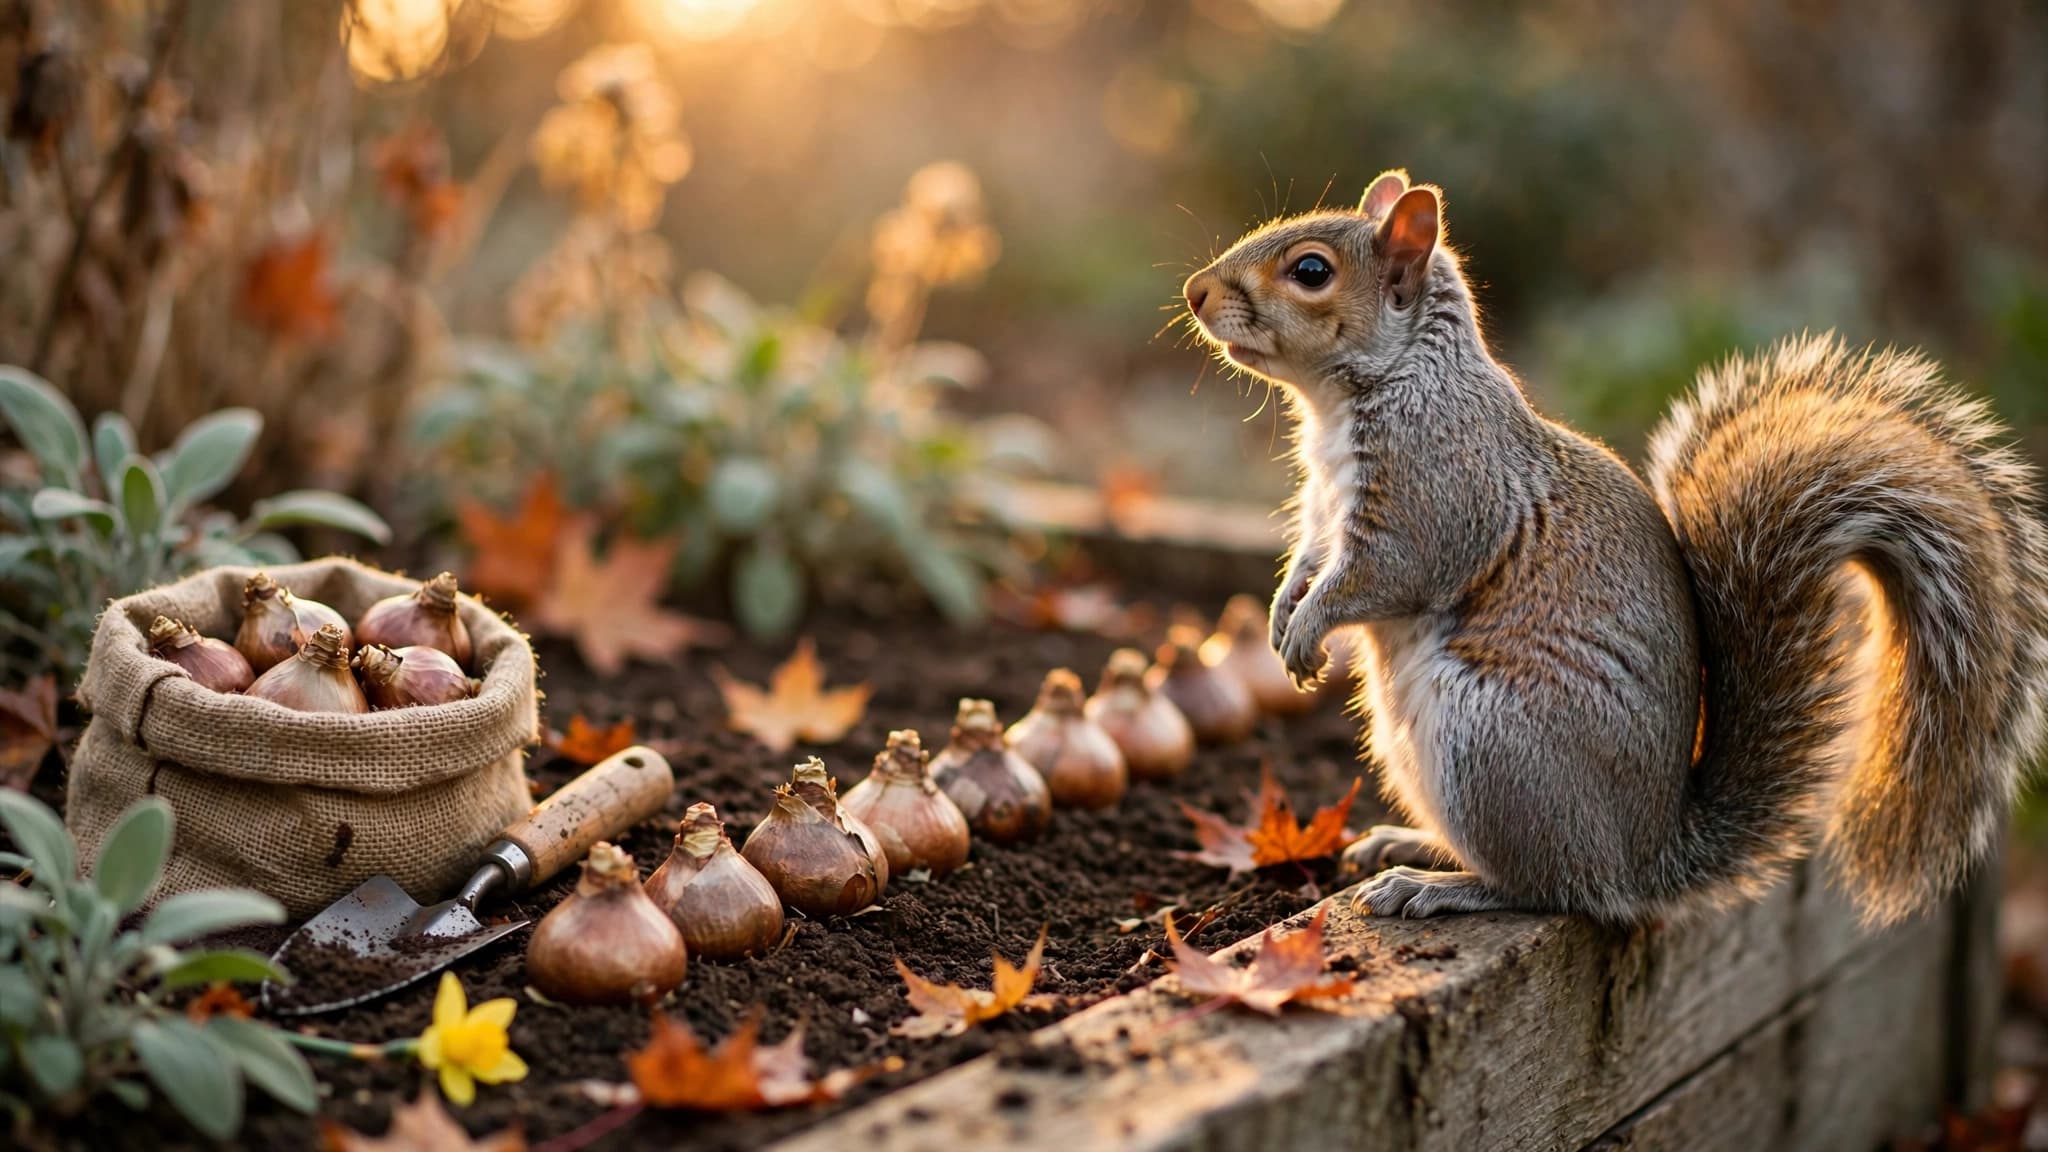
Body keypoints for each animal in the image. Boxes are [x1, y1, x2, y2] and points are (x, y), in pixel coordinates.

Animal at [1181, 169, 2048, 926]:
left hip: (1494, 744)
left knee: (1559, 890)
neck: (1365, 392)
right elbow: (1308, 559)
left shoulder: (1437, 489)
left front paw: (1308, 628)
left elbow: (1384, 574)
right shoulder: (1323, 510)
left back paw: (1439, 887)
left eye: (1312, 271)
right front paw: (1284, 613)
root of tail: (1646, 857)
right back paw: (1408, 843)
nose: (1195, 292)